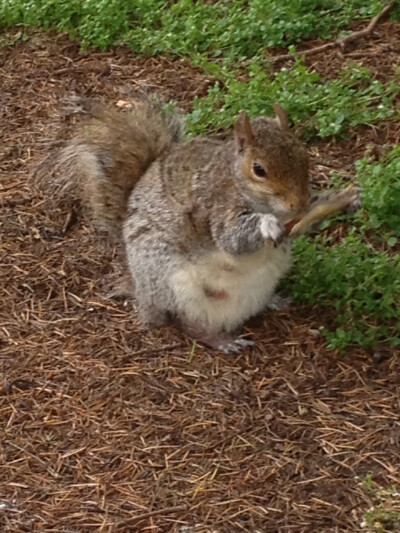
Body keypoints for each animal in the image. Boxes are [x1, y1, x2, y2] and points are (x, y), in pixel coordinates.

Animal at [39, 94, 360, 354]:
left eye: (304, 155)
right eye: (259, 170)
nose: (300, 204)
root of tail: (141, 291)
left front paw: (347, 200)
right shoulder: (216, 208)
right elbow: (232, 240)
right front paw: (267, 225)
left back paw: (274, 302)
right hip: (171, 279)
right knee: (185, 322)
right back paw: (221, 340)